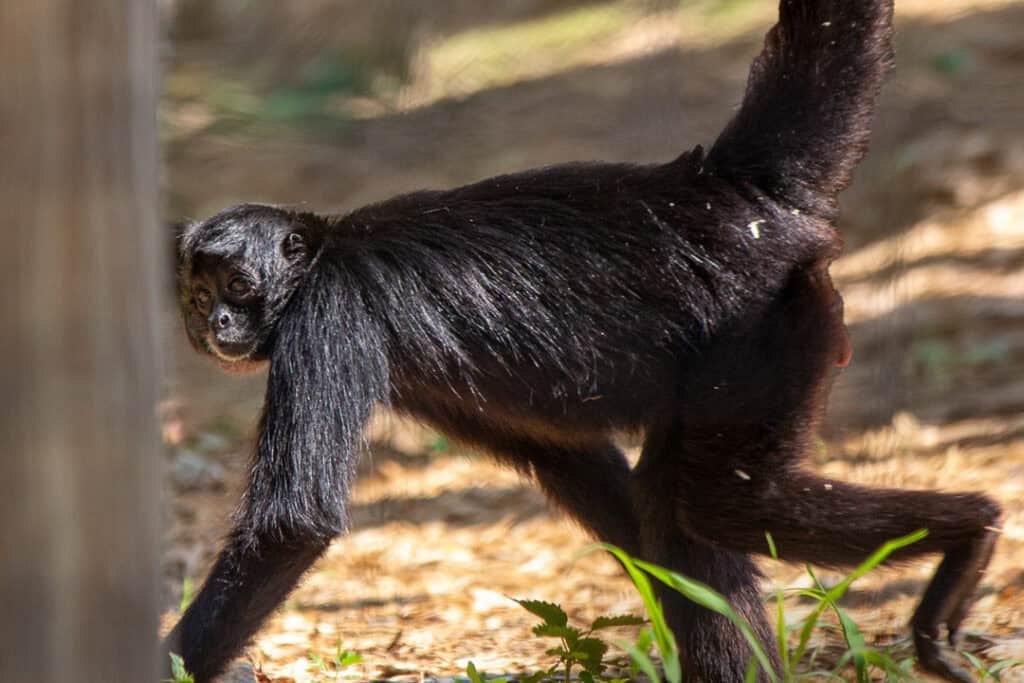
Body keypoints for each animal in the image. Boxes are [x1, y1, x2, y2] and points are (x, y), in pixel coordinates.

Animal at [168, 0, 1001, 681]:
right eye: (199, 295)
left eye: (237, 285)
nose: (216, 324)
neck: (327, 249)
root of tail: (720, 188)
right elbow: (578, 463)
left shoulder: (330, 315)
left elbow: (292, 522)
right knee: (672, 502)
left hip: (773, 321)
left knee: (716, 500)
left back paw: (972, 529)